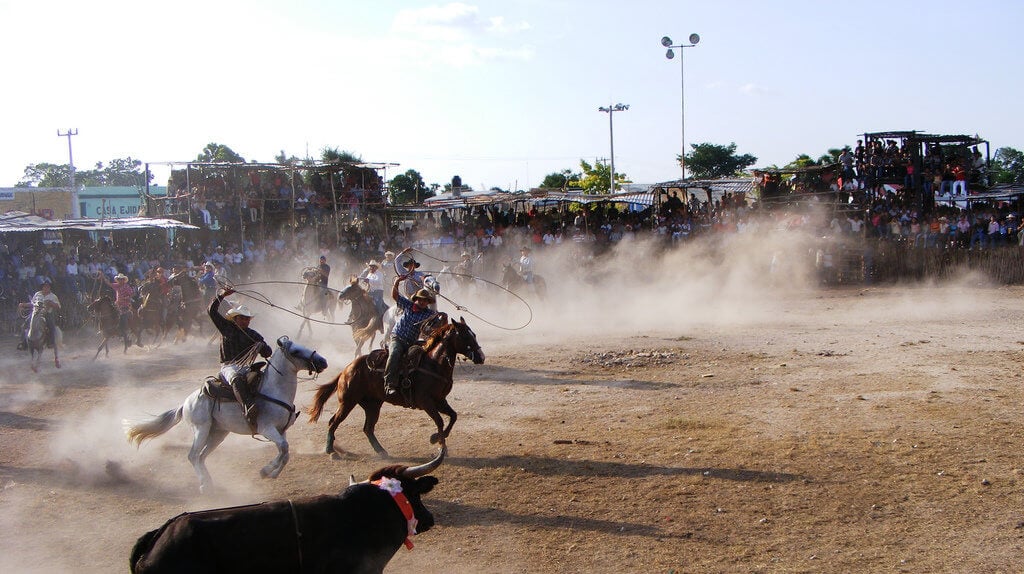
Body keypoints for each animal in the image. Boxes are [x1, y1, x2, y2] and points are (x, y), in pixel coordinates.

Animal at [124, 335, 327, 493]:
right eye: (296, 351)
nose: (323, 361)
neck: (274, 390)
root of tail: (185, 403)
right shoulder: (267, 429)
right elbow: (283, 449)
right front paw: (266, 470)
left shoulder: (281, 430)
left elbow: (285, 453)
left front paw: (272, 472)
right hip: (201, 430)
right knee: (193, 456)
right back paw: (204, 486)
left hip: (218, 433)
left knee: (201, 457)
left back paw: (209, 483)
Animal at [305, 313, 485, 456]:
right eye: (465, 336)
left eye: (474, 334)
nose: (481, 357)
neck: (434, 364)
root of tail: (347, 369)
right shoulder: (426, 401)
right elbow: (440, 421)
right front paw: (440, 445)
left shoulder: (440, 400)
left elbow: (453, 416)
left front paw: (436, 440)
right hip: (347, 401)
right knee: (333, 422)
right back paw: (330, 450)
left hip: (372, 404)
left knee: (368, 428)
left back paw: (381, 451)